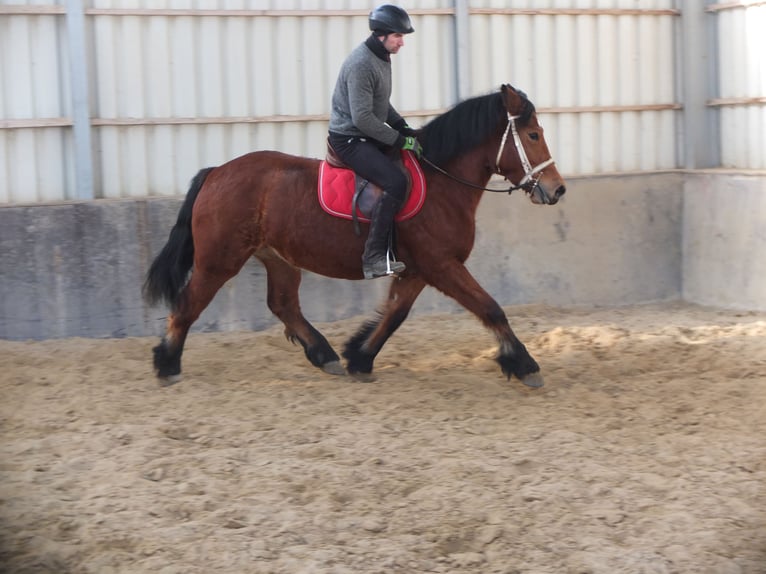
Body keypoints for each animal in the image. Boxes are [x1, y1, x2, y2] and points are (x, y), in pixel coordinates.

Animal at [144, 85, 568, 390]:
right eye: (533, 134)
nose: (557, 189)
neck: (442, 181)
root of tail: (216, 172)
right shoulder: (441, 265)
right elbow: (490, 308)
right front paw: (525, 364)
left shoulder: (418, 270)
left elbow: (394, 315)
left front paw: (359, 357)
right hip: (220, 260)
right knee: (187, 305)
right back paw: (167, 364)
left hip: (278, 257)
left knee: (283, 304)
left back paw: (325, 355)